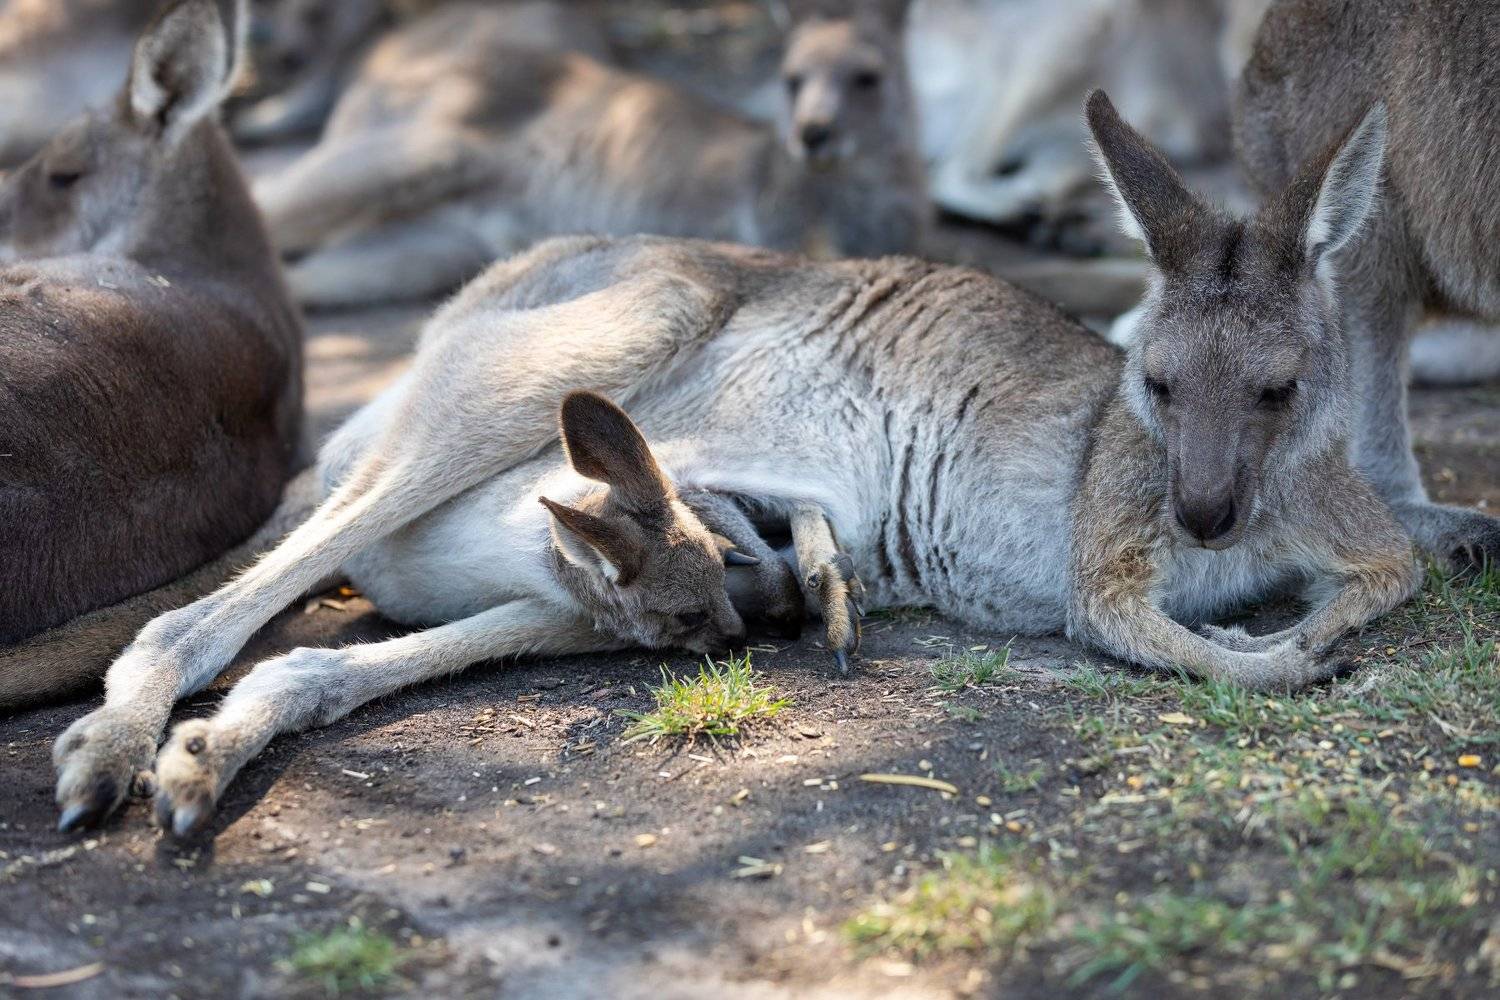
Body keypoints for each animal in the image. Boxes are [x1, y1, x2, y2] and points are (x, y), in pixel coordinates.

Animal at [50, 89, 1418, 838]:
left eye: (1280, 389)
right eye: (1156, 383)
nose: (1203, 515)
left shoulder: (1329, 513)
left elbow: (1392, 570)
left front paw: (1311, 627)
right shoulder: (1107, 544)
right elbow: (1157, 631)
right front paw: (1283, 656)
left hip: (578, 600)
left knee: (319, 664)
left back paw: (199, 761)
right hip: (594, 337)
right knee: (194, 622)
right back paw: (116, 752)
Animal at [251, 0, 927, 309]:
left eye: (867, 79)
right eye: (791, 81)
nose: (812, 136)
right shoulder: (772, 212)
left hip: (429, 250)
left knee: (302, 277)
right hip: (423, 151)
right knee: (270, 204)